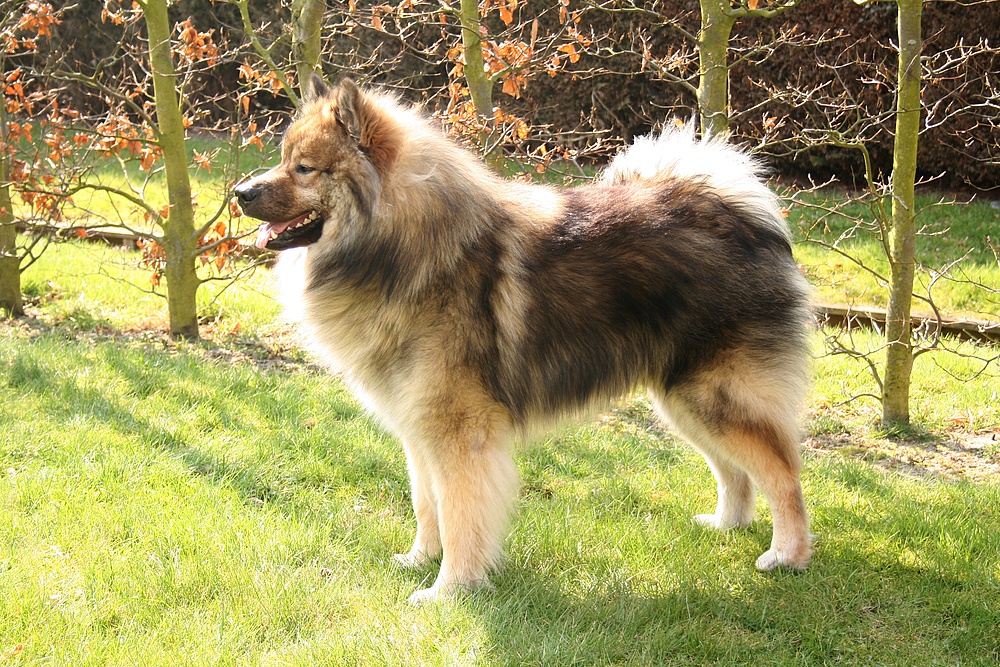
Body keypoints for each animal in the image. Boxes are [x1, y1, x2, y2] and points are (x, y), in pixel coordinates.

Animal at [234, 75, 812, 604]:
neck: (403, 248)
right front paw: (419, 560)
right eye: (283, 159)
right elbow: (427, 505)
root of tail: (745, 219)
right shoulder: (419, 426)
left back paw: (788, 555)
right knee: (737, 473)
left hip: (714, 395)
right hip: (682, 399)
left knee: (783, 475)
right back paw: (726, 524)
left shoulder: (458, 432)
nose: (240, 192)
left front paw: (449, 590)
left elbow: (460, 515)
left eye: (304, 168)